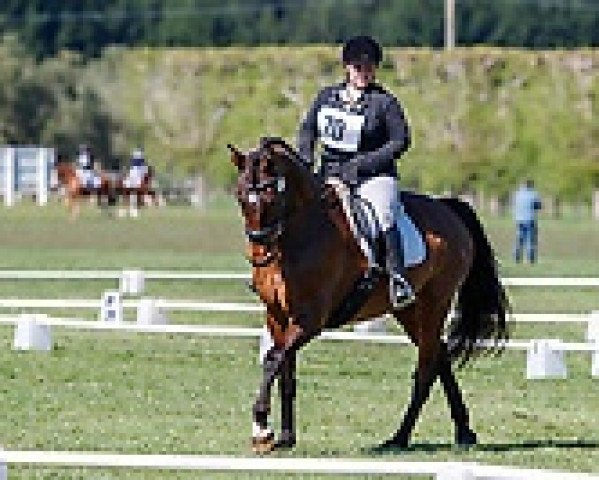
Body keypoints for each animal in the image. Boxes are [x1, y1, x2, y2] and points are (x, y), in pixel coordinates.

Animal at [227, 136, 508, 454]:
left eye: (270, 193)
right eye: (240, 195)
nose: (259, 253)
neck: (298, 236)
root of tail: (447, 209)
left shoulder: (310, 321)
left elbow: (273, 359)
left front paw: (262, 430)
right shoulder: (277, 316)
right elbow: (285, 371)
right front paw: (285, 437)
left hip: (435, 304)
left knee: (425, 370)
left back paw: (399, 438)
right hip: (408, 311)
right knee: (440, 357)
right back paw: (463, 431)